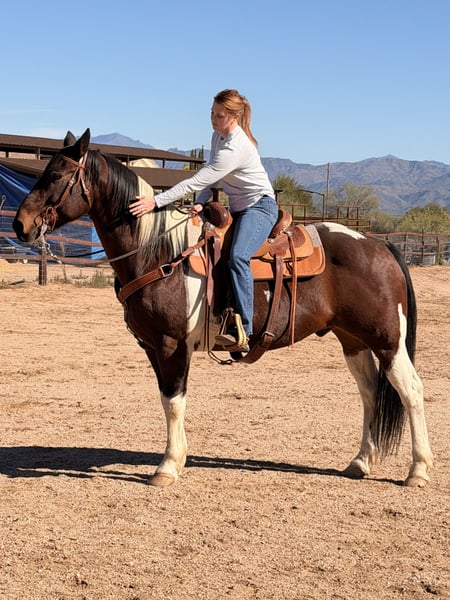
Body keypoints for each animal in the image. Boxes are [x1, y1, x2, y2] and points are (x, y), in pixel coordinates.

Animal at [13, 128, 433, 488]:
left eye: (56, 175)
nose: (20, 225)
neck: (158, 252)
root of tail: (378, 244)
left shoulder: (172, 345)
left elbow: (174, 402)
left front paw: (167, 467)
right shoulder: (152, 347)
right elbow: (167, 400)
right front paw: (177, 458)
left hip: (388, 340)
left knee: (410, 391)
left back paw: (418, 470)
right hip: (353, 340)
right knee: (370, 393)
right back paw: (360, 462)